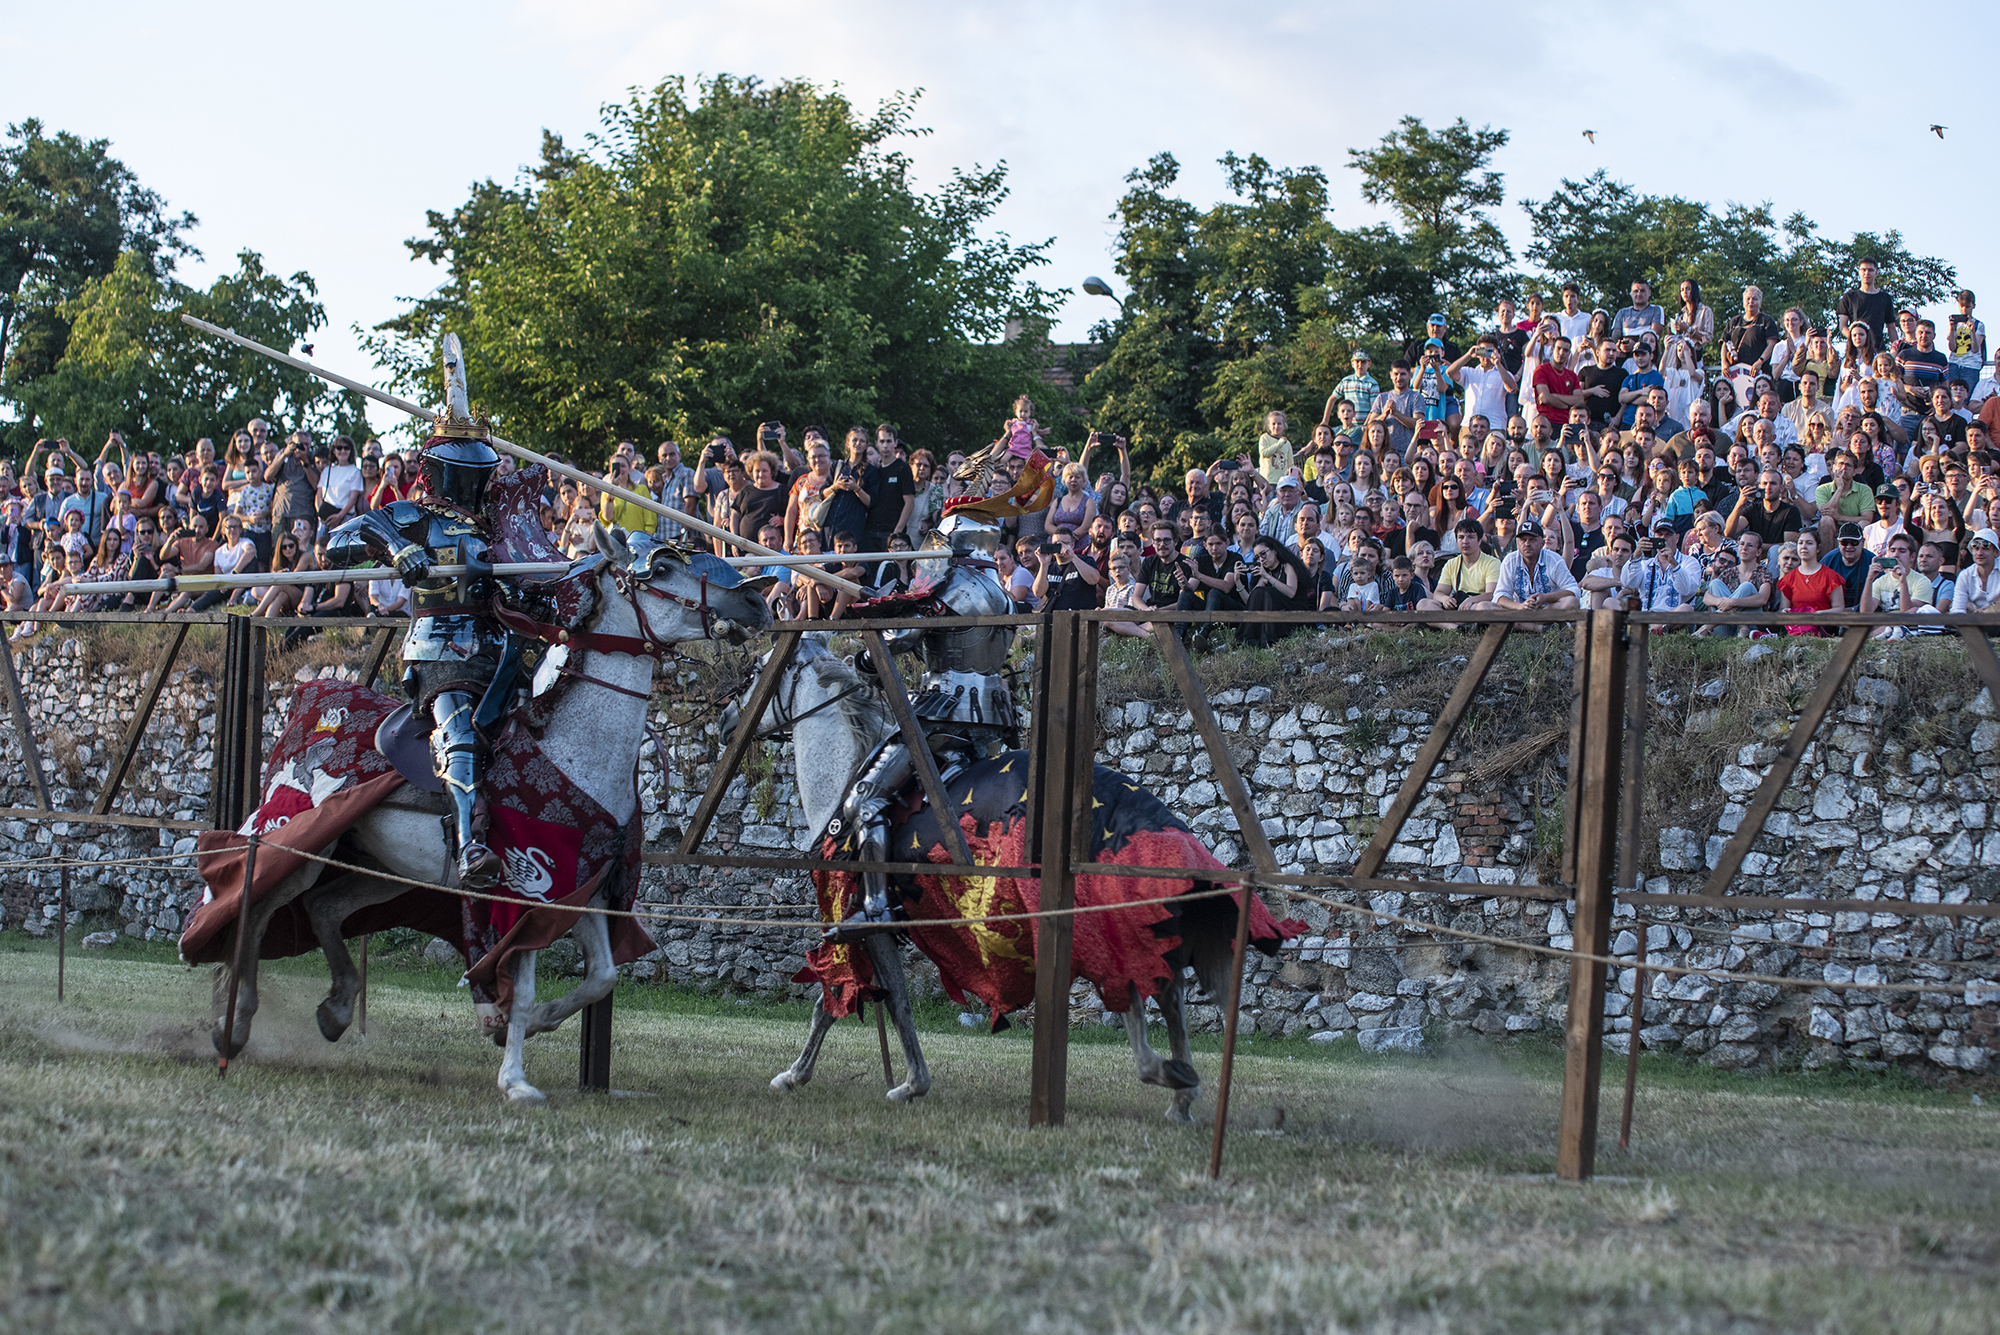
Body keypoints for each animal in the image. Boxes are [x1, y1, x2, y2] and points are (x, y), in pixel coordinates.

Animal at [211, 527, 772, 1103]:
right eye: (660, 569)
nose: (755, 601)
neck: (571, 748)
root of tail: (312, 695)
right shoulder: (524, 897)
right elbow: (521, 987)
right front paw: (516, 1078)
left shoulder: (583, 892)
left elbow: (601, 978)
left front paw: (535, 1022)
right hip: (298, 843)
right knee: (256, 904)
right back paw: (234, 1021)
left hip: (385, 868)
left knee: (324, 906)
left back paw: (337, 1007)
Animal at [728, 635, 1240, 1119]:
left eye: (757, 672)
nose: (729, 720)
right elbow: (837, 1003)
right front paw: (804, 1074)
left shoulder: (867, 920)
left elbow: (878, 999)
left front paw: (901, 1083)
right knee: (1167, 988)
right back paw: (1182, 1094)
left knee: (1132, 985)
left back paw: (1162, 1072)